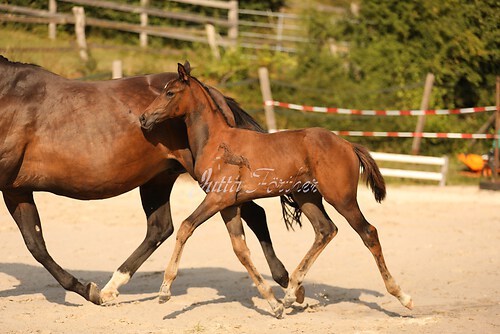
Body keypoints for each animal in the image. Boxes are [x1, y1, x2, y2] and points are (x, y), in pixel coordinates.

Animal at [139, 63, 412, 318]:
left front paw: (165, 290)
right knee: (325, 230)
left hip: (342, 199)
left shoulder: (218, 198)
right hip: (307, 197)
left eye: (170, 93)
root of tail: (347, 144)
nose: (143, 118)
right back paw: (291, 294)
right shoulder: (228, 205)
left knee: (368, 233)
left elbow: (186, 227)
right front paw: (274, 303)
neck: (216, 141)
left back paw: (402, 296)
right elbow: (241, 250)